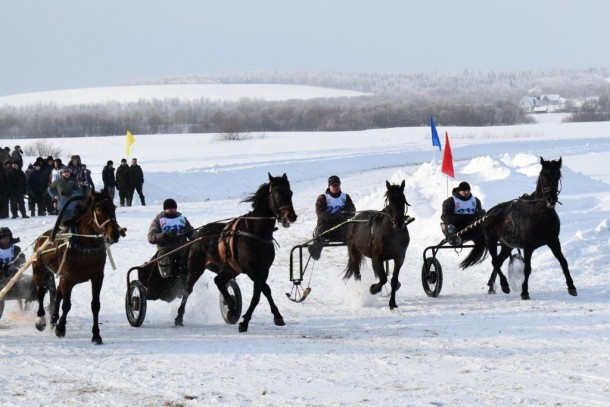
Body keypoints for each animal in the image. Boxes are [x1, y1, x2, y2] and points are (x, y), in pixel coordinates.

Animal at [31, 191, 124, 344]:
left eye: (114, 207)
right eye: (99, 209)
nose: (115, 234)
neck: (86, 247)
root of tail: (41, 238)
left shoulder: (97, 277)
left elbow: (95, 305)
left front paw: (96, 335)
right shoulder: (68, 278)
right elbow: (67, 305)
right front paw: (60, 328)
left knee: (57, 293)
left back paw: (53, 319)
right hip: (39, 270)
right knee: (41, 292)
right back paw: (41, 320)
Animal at [178, 174, 296, 334]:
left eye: (290, 193)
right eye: (277, 193)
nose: (291, 216)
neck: (256, 233)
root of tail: (198, 234)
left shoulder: (263, 269)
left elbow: (258, 295)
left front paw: (245, 321)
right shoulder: (249, 268)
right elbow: (265, 289)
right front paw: (276, 316)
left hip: (230, 269)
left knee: (219, 281)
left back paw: (231, 306)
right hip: (196, 267)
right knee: (187, 290)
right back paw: (179, 317)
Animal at [342, 180, 408, 310]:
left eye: (403, 198)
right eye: (390, 200)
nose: (398, 223)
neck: (391, 231)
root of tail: (354, 219)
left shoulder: (399, 257)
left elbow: (393, 280)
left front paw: (392, 303)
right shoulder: (378, 257)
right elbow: (383, 278)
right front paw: (373, 289)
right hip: (354, 251)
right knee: (357, 275)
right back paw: (360, 295)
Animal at [460, 156, 576, 300]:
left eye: (558, 175)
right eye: (544, 175)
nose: (551, 199)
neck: (540, 213)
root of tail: (488, 214)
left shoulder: (553, 241)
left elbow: (563, 262)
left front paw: (571, 287)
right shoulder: (528, 246)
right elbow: (527, 269)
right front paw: (524, 292)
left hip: (506, 245)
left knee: (499, 261)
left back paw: (492, 286)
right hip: (491, 241)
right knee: (495, 262)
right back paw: (504, 285)